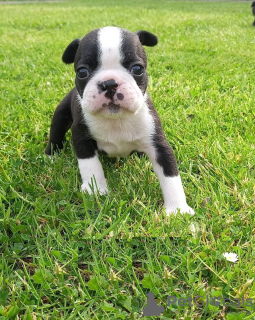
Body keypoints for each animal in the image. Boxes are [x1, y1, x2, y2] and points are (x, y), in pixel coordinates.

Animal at [44, 26, 194, 216]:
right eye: (82, 72)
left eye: (137, 69)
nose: (109, 83)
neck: (116, 119)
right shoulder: (81, 136)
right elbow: (90, 165)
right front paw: (95, 190)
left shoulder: (158, 143)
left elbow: (170, 175)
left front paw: (178, 210)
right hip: (60, 115)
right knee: (56, 134)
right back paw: (51, 156)